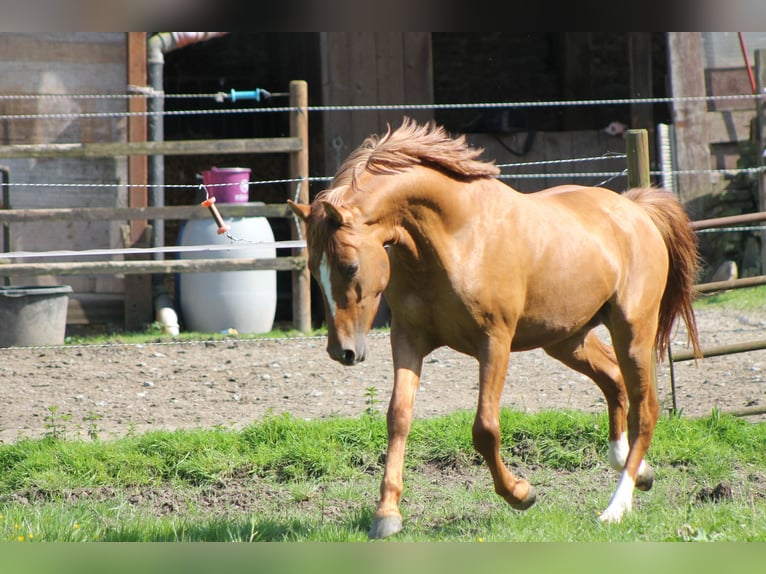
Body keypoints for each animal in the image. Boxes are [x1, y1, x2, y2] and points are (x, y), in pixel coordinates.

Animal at [292, 117, 704, 540]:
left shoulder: (494, 343)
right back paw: (634, 469)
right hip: (567, 339)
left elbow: (485, 429)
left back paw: (616, 507)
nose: (342, 351)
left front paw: (521, 493)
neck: (455, 237)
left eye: (350, 267)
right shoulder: (408, 339)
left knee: (645, 410)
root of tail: (635, 209)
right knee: (613, 381)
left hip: (632, 331)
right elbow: (398, 418)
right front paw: (386, 513)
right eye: (313, 271)